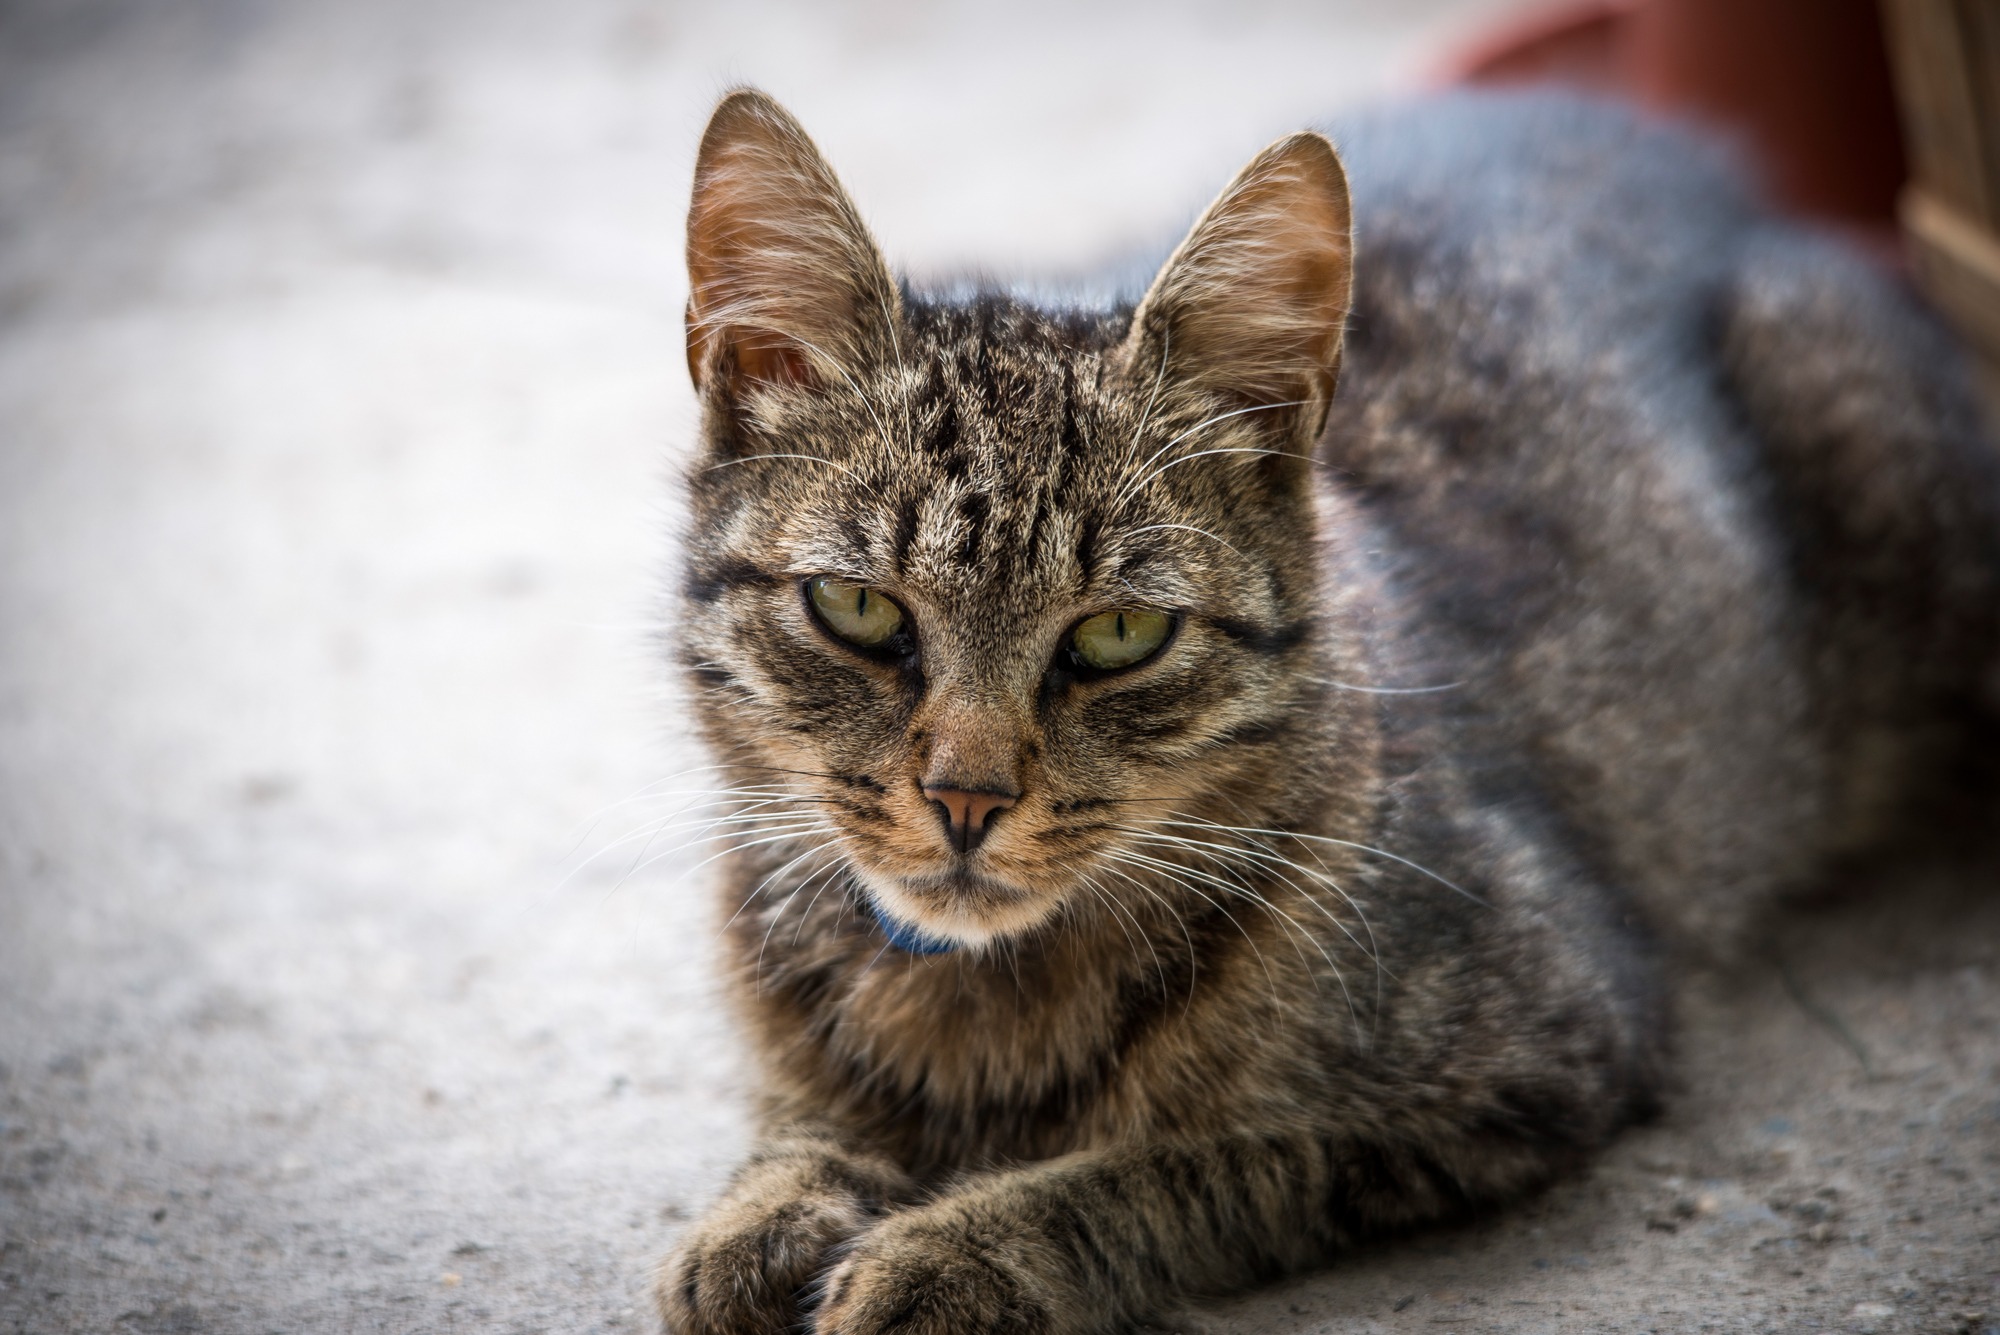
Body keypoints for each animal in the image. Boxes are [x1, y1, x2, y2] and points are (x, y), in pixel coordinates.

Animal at [648, 85, 1992, 1335]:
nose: (965, 799)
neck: (968, 1005)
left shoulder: (1525, 1058)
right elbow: (799, 1121)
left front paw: (951, 1251)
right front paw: (766, 1208)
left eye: (1118, 634)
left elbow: (1164, 1173)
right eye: (856, 608)